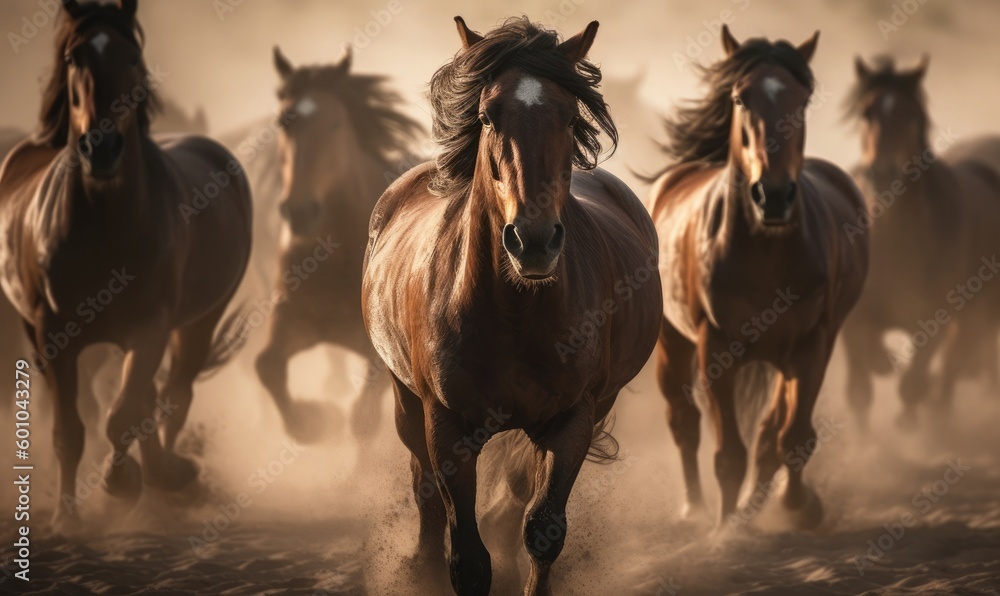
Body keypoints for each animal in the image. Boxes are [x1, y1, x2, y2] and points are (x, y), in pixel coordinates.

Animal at [0, 0, 252, 531]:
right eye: (73, 58)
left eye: (133, 55)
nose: (102, 147)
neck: (106, 222)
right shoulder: (54, 337)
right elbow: (71, 430)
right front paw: (67, 520)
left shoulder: (150, 326)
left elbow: (123, 415)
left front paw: (124, 483)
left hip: (199, 321)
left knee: (172, 396)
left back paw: (169, 477)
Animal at [253, 45, 424, 443]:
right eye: (284, 121)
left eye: (335, 124)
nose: (300, 210)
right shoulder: (292, 317)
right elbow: (267, 366)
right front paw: (311, 422)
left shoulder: (382, 352)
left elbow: (363, 419)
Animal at [363, 16, 662, 595]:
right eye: (486, 115)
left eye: (569, 116)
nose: (534, 241)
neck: (513, 314)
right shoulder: (447, 427)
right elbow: (467, 556)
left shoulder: (572, 419)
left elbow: (543, 528)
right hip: (405, 399)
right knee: (422, 484)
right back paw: (421, 564)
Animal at [648, 26, 869, 529]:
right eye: (740, 98)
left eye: (803, 100)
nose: (774, 195)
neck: (766, 252)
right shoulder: (716, 349)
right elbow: (729, 452)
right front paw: (725, 531)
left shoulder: (811, 346)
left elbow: (793, 436)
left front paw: (797, 506)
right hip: (673, 340)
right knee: (683, 421)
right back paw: (693, 508)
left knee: (771, 432)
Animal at [841, 56, 1000, 431]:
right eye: (866, 113)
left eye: (911, 115)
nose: (882, 172)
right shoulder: (856, 319)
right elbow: (860, 391)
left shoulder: (935, 322)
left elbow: (913, 386)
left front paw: (911, 426)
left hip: (976, 317)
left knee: (952, 370)